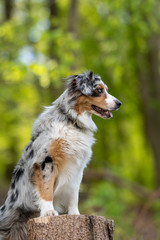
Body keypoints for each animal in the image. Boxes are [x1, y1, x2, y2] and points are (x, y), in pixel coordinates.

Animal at [0, 71, 121, 240]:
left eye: (106, 90)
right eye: (99, 90)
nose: (119, 103)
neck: (72, 121)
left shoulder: (77, 168)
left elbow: (74, 194)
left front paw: (75, 214)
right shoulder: (46, 161)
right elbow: (46, 188)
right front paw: (49, 212)